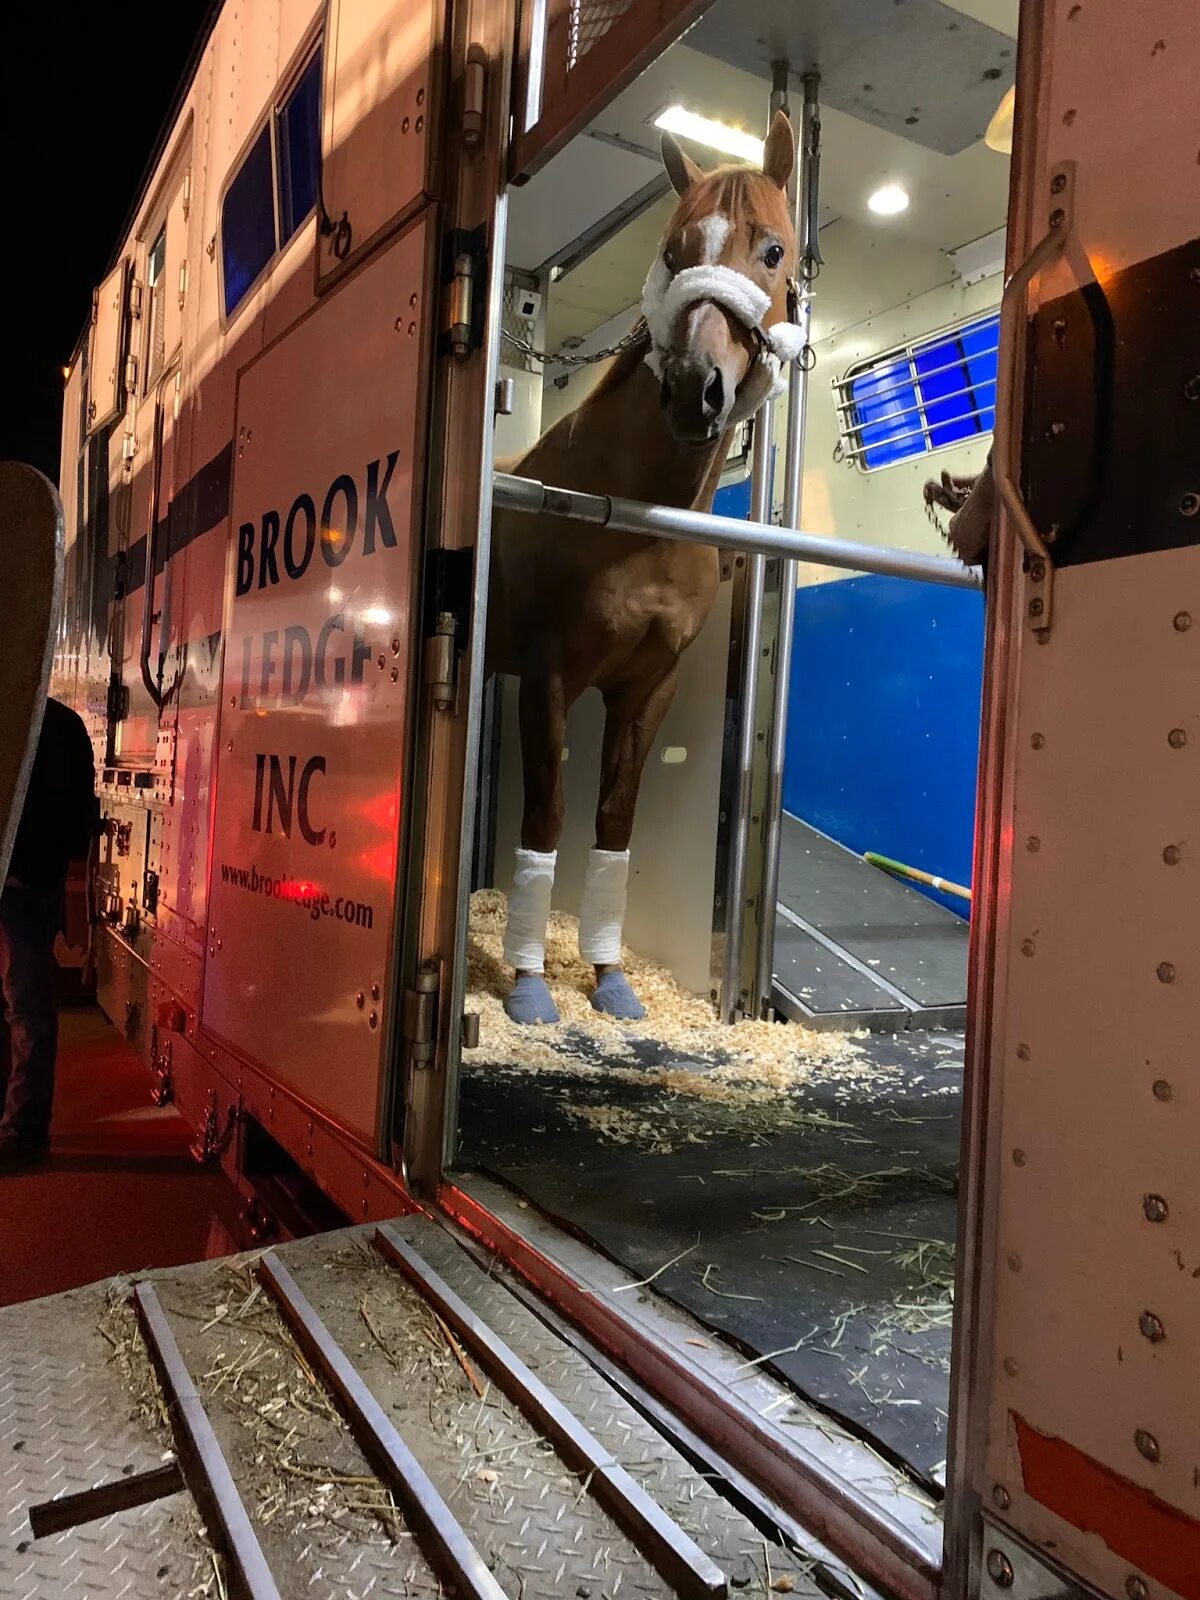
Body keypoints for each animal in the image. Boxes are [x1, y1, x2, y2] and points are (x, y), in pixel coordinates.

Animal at [489, 109, 800, 1024]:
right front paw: (530, 990)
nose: (695, 388)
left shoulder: (647, 685)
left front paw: (611, 980)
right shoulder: (551, 675)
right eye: (672, 249)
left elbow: (614, 822)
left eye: (773, 249)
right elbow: (548, 818)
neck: (641, 517)